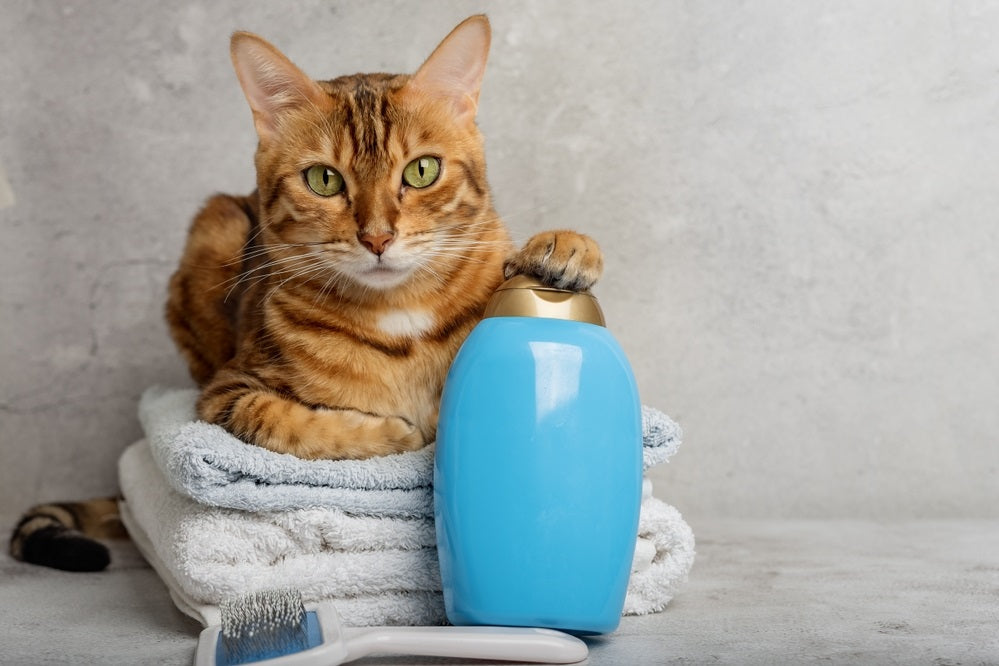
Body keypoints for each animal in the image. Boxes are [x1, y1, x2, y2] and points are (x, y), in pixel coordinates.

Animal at [9, 14, 600, 564]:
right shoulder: (225, 392)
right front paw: (393, 434)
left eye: (422, 171)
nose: (377, 237)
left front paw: (564, 248)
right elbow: (279, 419)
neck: (398, 313)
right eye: (324, 179)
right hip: (215, 227)